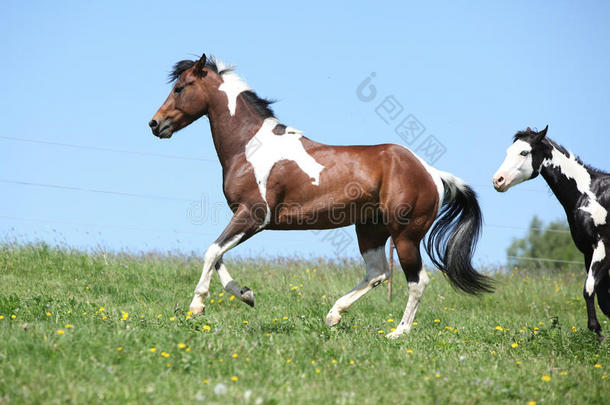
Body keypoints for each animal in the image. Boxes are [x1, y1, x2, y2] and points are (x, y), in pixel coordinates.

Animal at [150, 53, 492, 338]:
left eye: (180, 88)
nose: (155, 124)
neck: (251, 147)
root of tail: (432, 173)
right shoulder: (243, 217)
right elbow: (218, 253)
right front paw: (246, 294)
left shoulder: (253, 215)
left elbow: (211, 252)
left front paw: (197, 306)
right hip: (370, 230)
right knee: (377, 272)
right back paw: (334, 315)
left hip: (405, 236)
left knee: (417, 281)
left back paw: (398, 333)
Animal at [490, 126, 608, 338]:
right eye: (508, 151)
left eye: (524, 152)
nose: (498, 180)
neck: (591, 195)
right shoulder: (588, 251)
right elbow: (602, 297)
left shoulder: (603, 246)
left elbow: (589, 289)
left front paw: (597, 331)